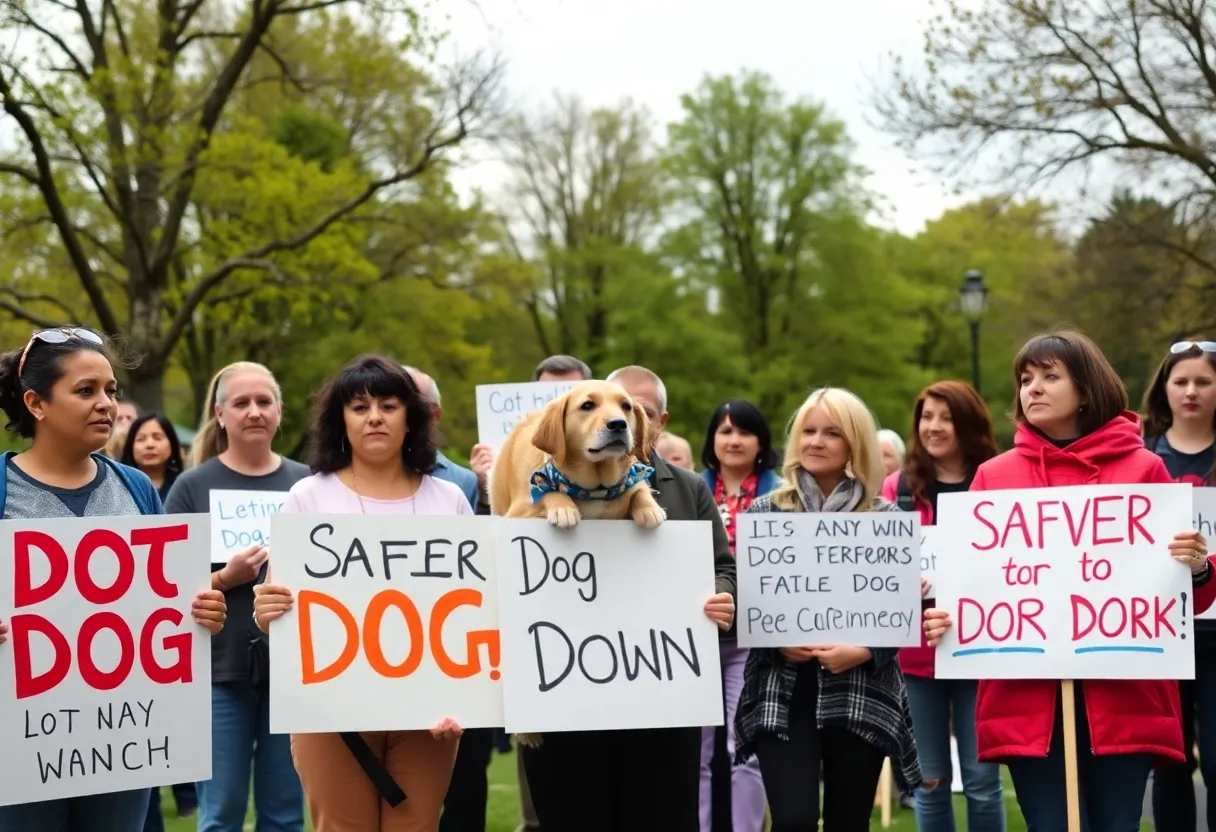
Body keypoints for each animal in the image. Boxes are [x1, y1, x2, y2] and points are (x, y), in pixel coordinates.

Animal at [491, 379, 666, 530]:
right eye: (587, 405)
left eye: (626, 406)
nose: (618, 424)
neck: (595, 489)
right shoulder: (519, 509)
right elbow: (549, 490)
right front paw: (563, 508)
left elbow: (640, 490)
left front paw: (650, 508)